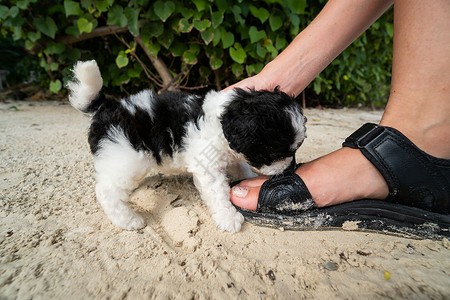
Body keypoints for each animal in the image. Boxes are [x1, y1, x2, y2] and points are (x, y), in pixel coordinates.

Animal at [67, 60, 306, 232]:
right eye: (274, 151)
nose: (289, 169)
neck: (224, 120)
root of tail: (106, 106)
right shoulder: (208, 167)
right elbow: (218, 193)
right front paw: (228, 217)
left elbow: (240, 168)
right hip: (128, 157)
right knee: (106, 190)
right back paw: (129, 220)